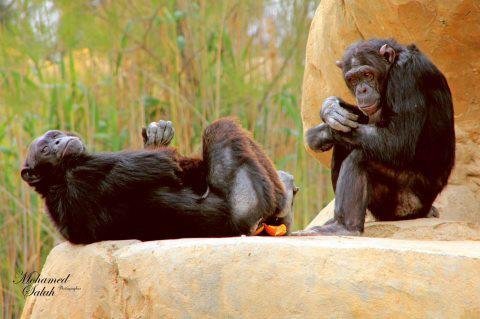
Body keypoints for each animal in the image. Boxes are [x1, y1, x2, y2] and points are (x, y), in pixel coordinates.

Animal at [23, 119, 300, 244]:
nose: (60, 141)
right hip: (244, 214)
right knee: (220, 129)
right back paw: (280, 199)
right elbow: (167, 164)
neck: (56, 179)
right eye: (45, 149)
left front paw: (156, 134)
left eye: (54, 136)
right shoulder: (93, 167)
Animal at [298, 38, 456, 236]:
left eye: (367, 74)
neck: (390, 70)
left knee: (362, 157)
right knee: (346, 145)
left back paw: (344, 227)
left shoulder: (407, 75)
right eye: (353, 79)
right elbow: (362, 119)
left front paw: (322, 132)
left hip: (407, 202)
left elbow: (397, 140)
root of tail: (426, 209)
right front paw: (330, 109)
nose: (362, 90)